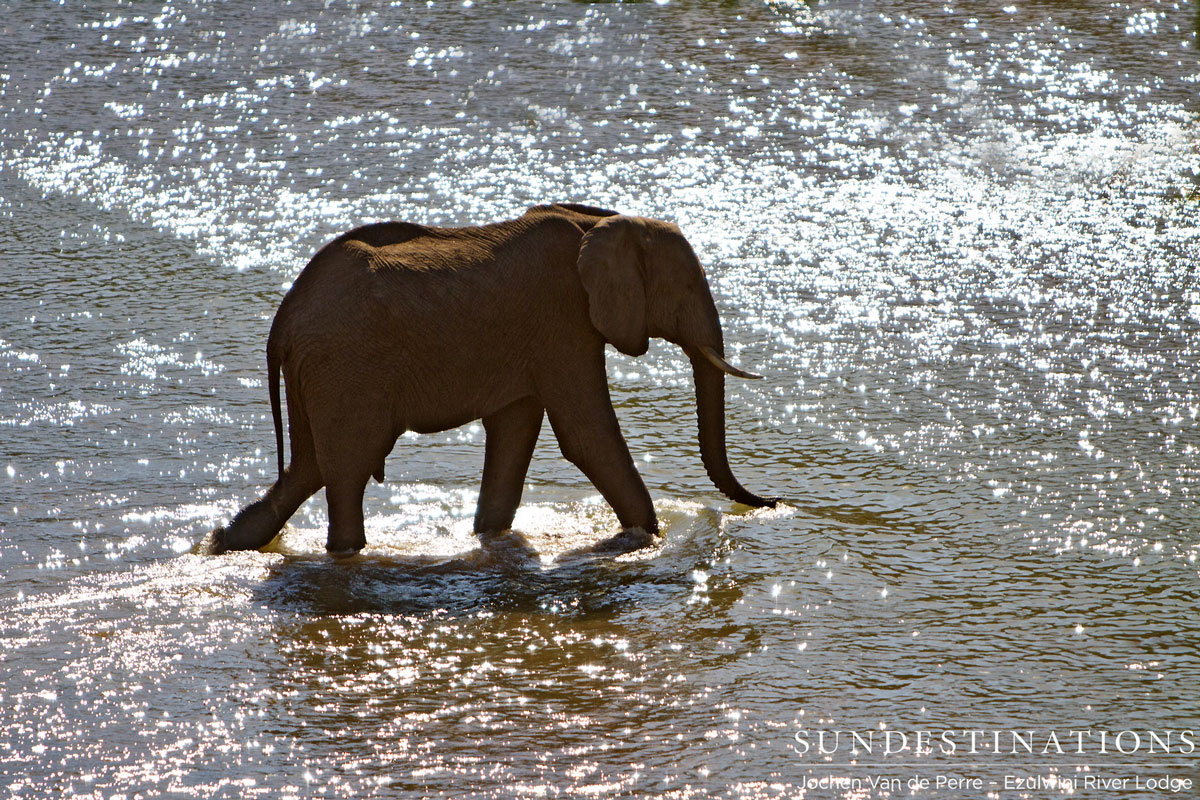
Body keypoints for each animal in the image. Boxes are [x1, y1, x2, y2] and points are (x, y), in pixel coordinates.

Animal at [211, 202, 775, 555]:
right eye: (687, 287)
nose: (773, 502)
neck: (601, 221)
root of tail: (282, 320)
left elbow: (514, 431)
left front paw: (489, 535)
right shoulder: (563, 322)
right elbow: (584, 435)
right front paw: (647, 538)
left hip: (317, 373)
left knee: (308, 467)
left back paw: (224, 542)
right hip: (343, 368)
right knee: (346, 471)